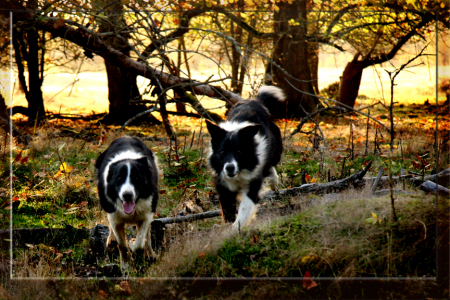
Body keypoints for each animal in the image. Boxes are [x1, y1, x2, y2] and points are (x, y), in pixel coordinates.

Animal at [94, 137, 158, 268]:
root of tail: (126, 136)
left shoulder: (147, 213)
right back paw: (112, 239)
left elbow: (140, 243)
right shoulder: (114, 216)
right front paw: (126, 266)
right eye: (119, 179)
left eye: (137, 178)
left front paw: (135, 247)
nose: (127, 195)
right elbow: (122, 244)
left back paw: (150, 253)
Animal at [206, 85, 284, 231]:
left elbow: (244, 209)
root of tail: (256, 100)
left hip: (276, 150)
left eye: (239, 151)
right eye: (222, 152)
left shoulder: (252, 183)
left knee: (270, 164)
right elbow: (228, 209)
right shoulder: (223, 185)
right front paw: (227, 227)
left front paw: (234, 230)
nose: (230, 168)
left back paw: (274, 181)